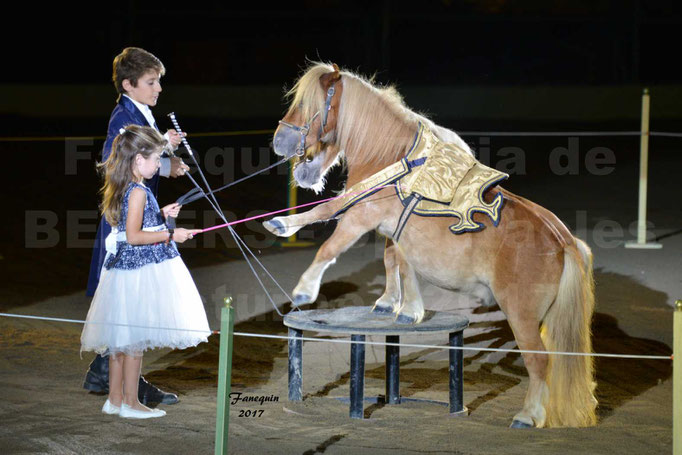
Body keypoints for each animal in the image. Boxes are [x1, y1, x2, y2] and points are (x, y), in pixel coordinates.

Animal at [262, 62, 592, 430]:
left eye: (308, 105)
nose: (279, 140)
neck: (394, 160)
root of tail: (562, 241)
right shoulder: (391, 228)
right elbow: (395, 261)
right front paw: (399, 306)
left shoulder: (361, 215)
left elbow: (329, 234)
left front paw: (304, 284)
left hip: (520, 313)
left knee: (539, 362)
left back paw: (527, 415)